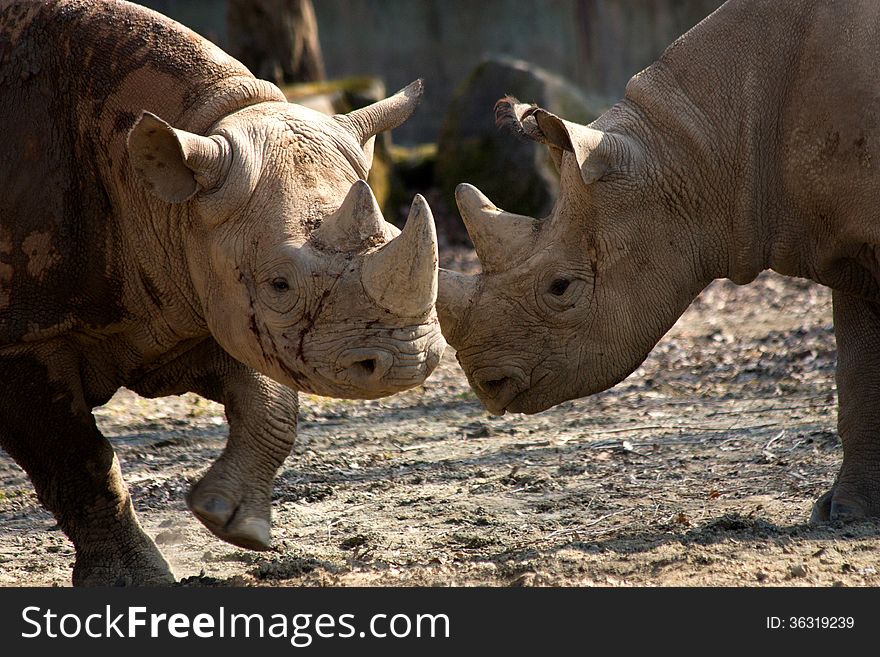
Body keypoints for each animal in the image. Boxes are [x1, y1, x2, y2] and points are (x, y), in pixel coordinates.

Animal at [0, 0, 446, 584]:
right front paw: (135, 580)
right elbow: (79, 461)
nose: (408, 361)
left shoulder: (193, 297)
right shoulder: (23, 338)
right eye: (280, 285)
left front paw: (233, 524)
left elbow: (272, 405)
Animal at [440, 0, 880, 524]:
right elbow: (857, 373)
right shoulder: (843, 244)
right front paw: (844, 512)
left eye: (560, 287)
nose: (486, 384)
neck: (706, 147)